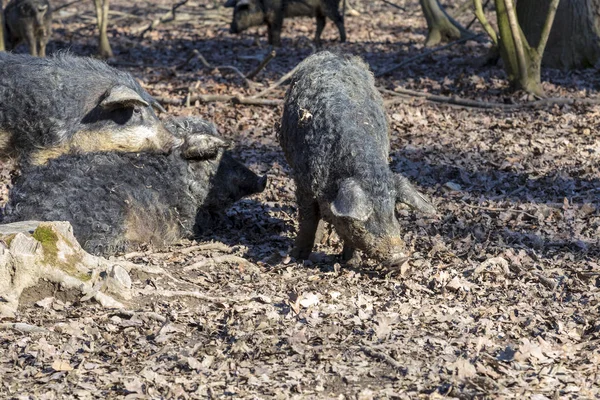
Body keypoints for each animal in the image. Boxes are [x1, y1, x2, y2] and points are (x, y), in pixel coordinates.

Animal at [278, 51, 434, 268]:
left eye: (393, 209)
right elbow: (307, 221)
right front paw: (297, 257)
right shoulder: (304, 183)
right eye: (367, 216)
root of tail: (332, 53)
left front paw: (351, 262)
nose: (399, 258)